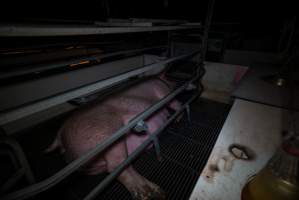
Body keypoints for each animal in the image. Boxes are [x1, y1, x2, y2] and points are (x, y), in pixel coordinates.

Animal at [47, 76, 180, 199]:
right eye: (169, 78)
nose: (174, 83)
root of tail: (60, 135)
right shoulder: (163, 91)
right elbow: (175, 103)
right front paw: (178, 118)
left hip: (94, 163)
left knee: (112, 168)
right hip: (107, 132)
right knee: (117, 165)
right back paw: (155, 193)